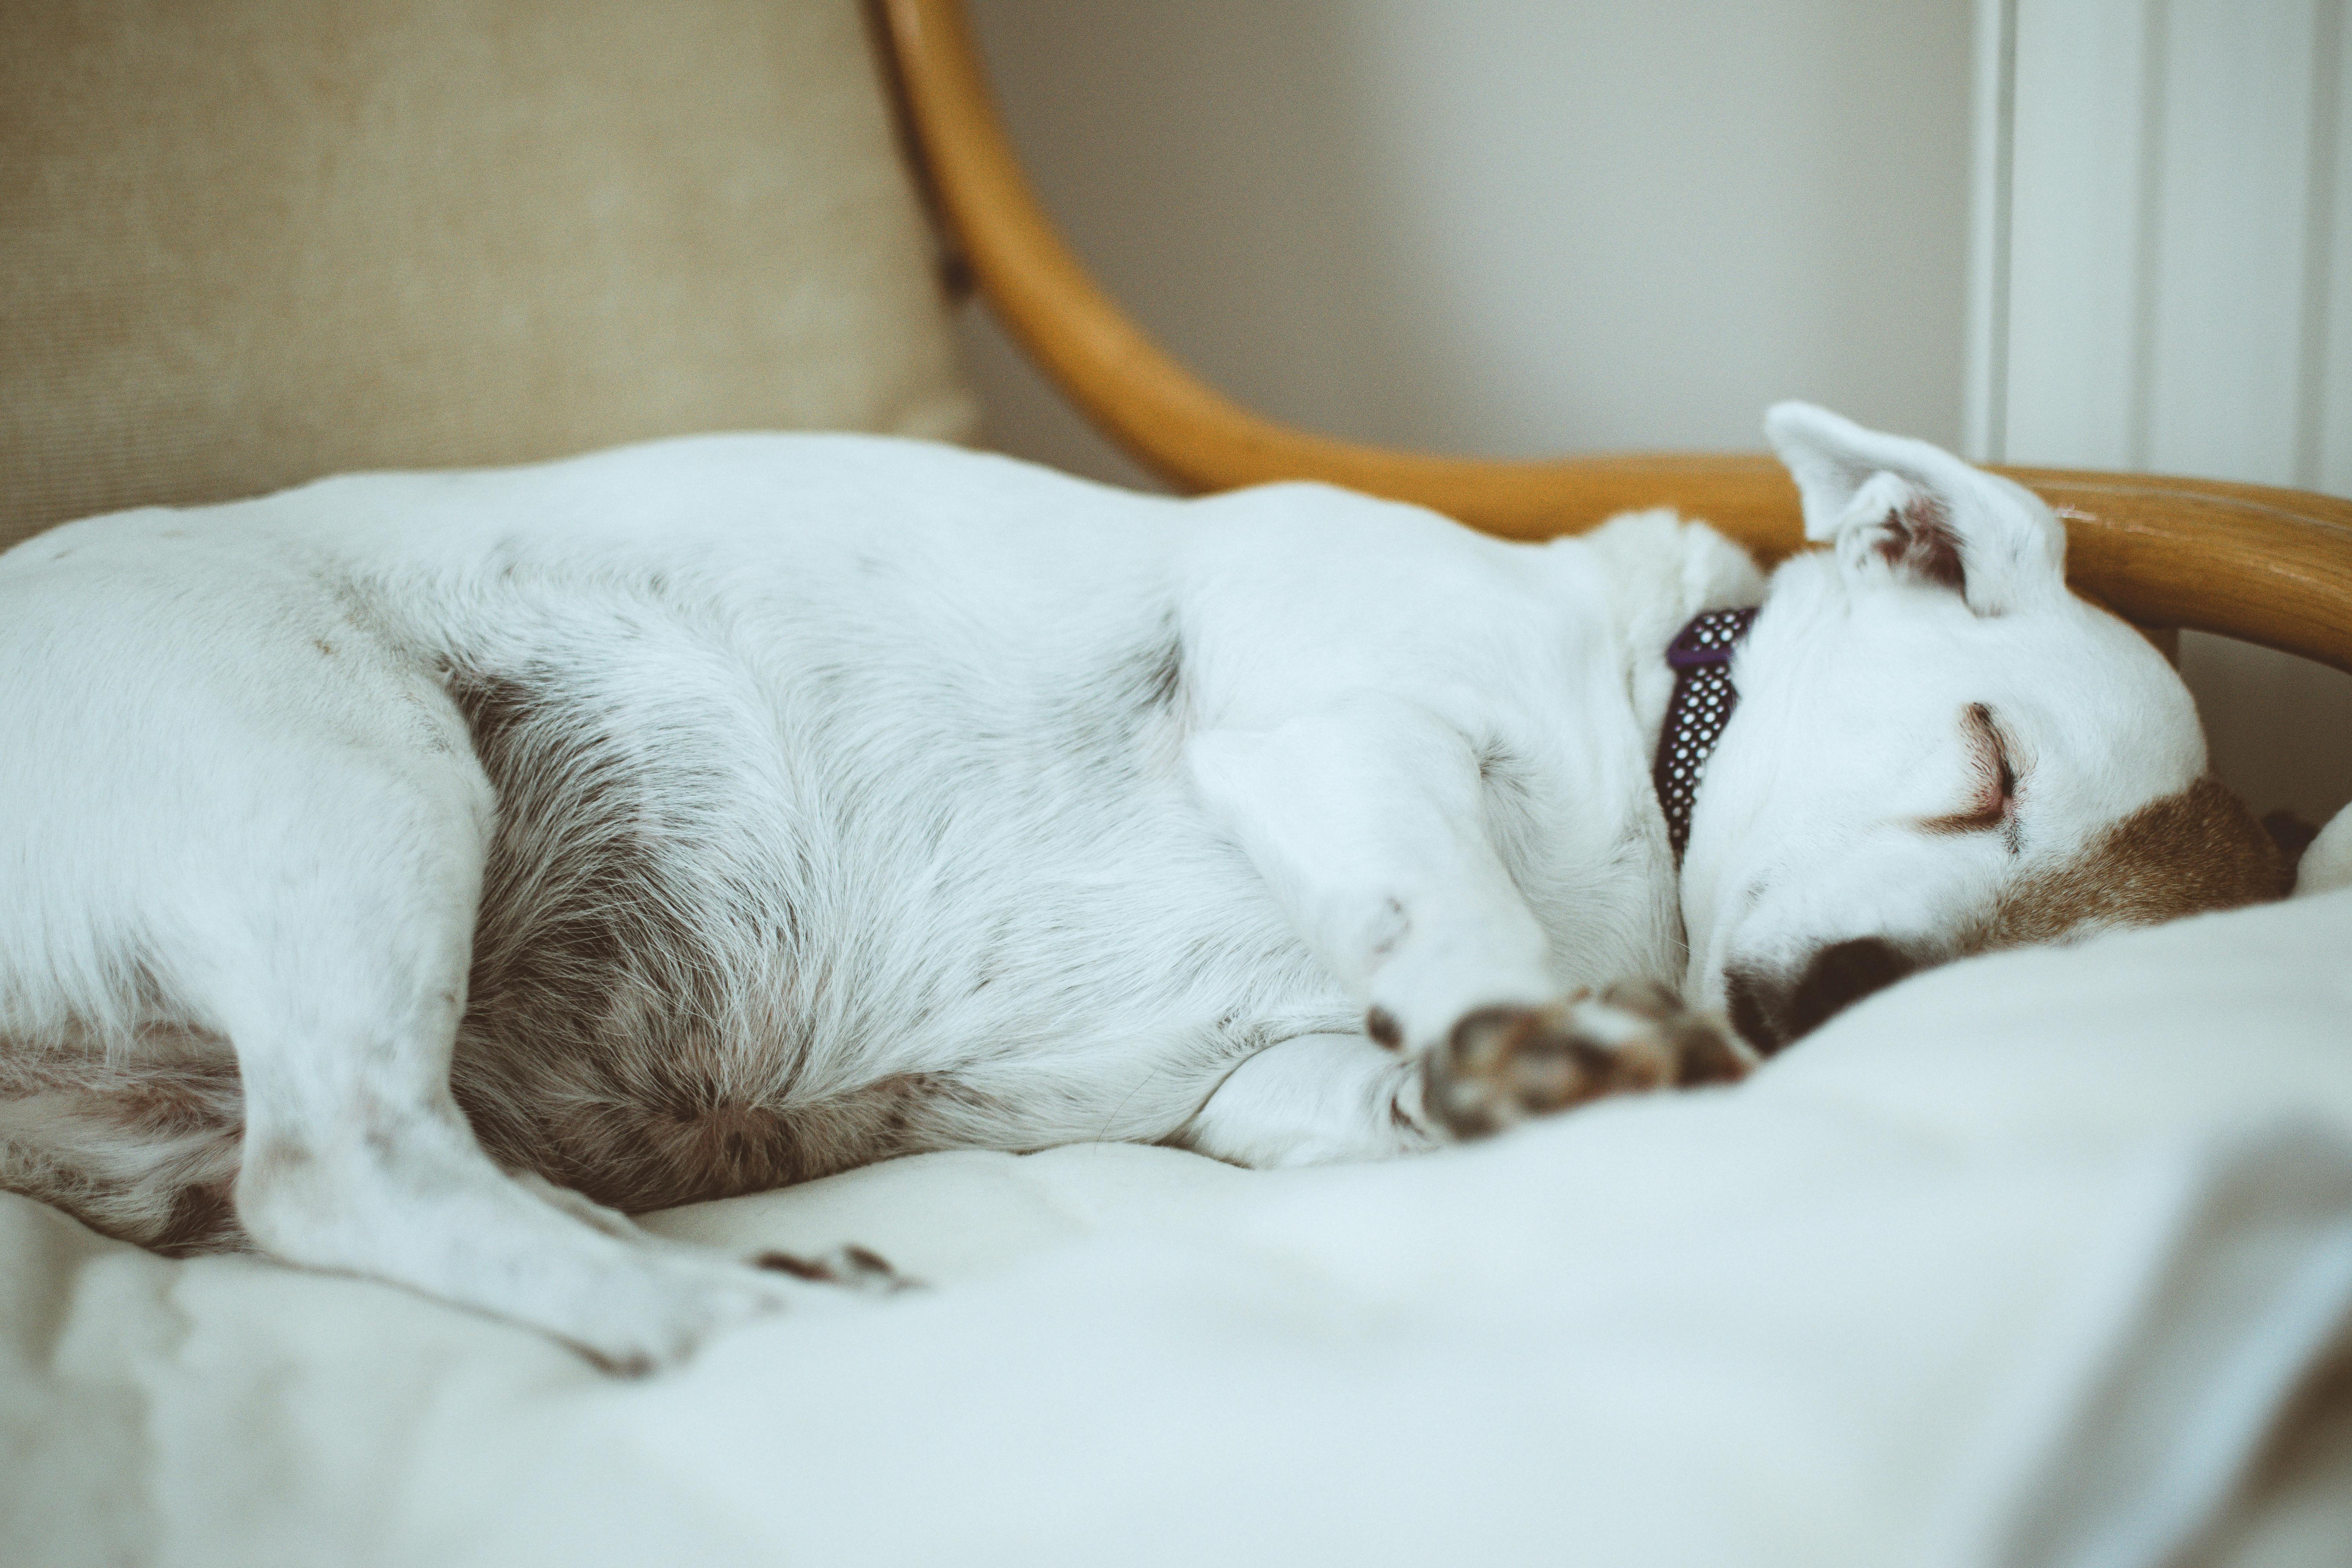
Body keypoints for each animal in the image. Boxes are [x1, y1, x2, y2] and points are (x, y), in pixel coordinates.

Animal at [0, 409, 2277, 1373]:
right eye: (1983, 770)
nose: (1825, 1002)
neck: (1637, 743)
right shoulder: (1333, 735)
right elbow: (1461, 921)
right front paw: (1536, 1024)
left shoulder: (1252, 1088)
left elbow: (1383, 1074)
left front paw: (1517, 1076)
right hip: (351, 771)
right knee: (348, 1166)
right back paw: (724, 1311)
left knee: (402, 1176)